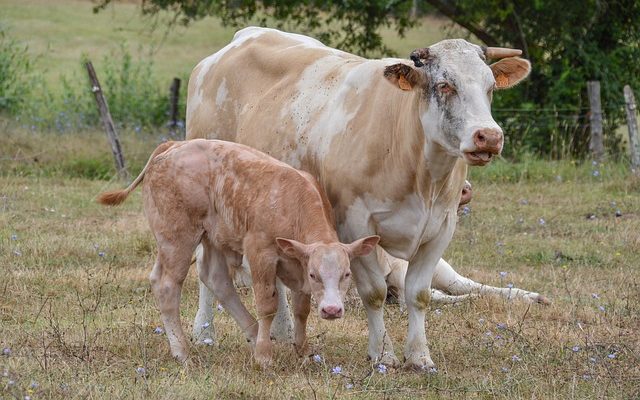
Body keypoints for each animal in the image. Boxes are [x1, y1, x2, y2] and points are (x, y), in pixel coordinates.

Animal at [97, 139, 378, 368]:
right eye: (314, 274)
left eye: (347, 274)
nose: (332, 310)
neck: (292, 202)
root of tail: (173, 145)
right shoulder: (260, 252)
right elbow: (267, 304)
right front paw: (264, 356)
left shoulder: (297, 261)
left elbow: (301, 309)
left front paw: (303, 351)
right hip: (177, 238)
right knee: (167, 285)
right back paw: (182, 352)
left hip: (208, 237)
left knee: (214, 279)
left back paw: (252, 334)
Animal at [186, 26, 540, 368]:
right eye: (444, 85)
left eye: (490, 87)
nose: (489, 136)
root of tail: (239, 40)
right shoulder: (355, 225)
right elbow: (374, 293)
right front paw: (382, 354)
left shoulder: (441, 227)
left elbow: (419, 294)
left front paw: (419, 357)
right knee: (208, 269)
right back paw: (204, 331)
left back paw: (282, 332)